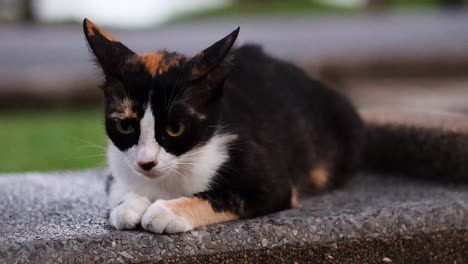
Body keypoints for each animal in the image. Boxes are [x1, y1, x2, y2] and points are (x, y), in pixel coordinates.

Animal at [84, 18, 464, 233]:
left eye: (175, 129)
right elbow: (119, 187)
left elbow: (229, 195)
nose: (146, 162)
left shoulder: (269, 177)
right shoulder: (118, 165)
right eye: (125, 127)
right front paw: (128, 206)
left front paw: (165, 211)